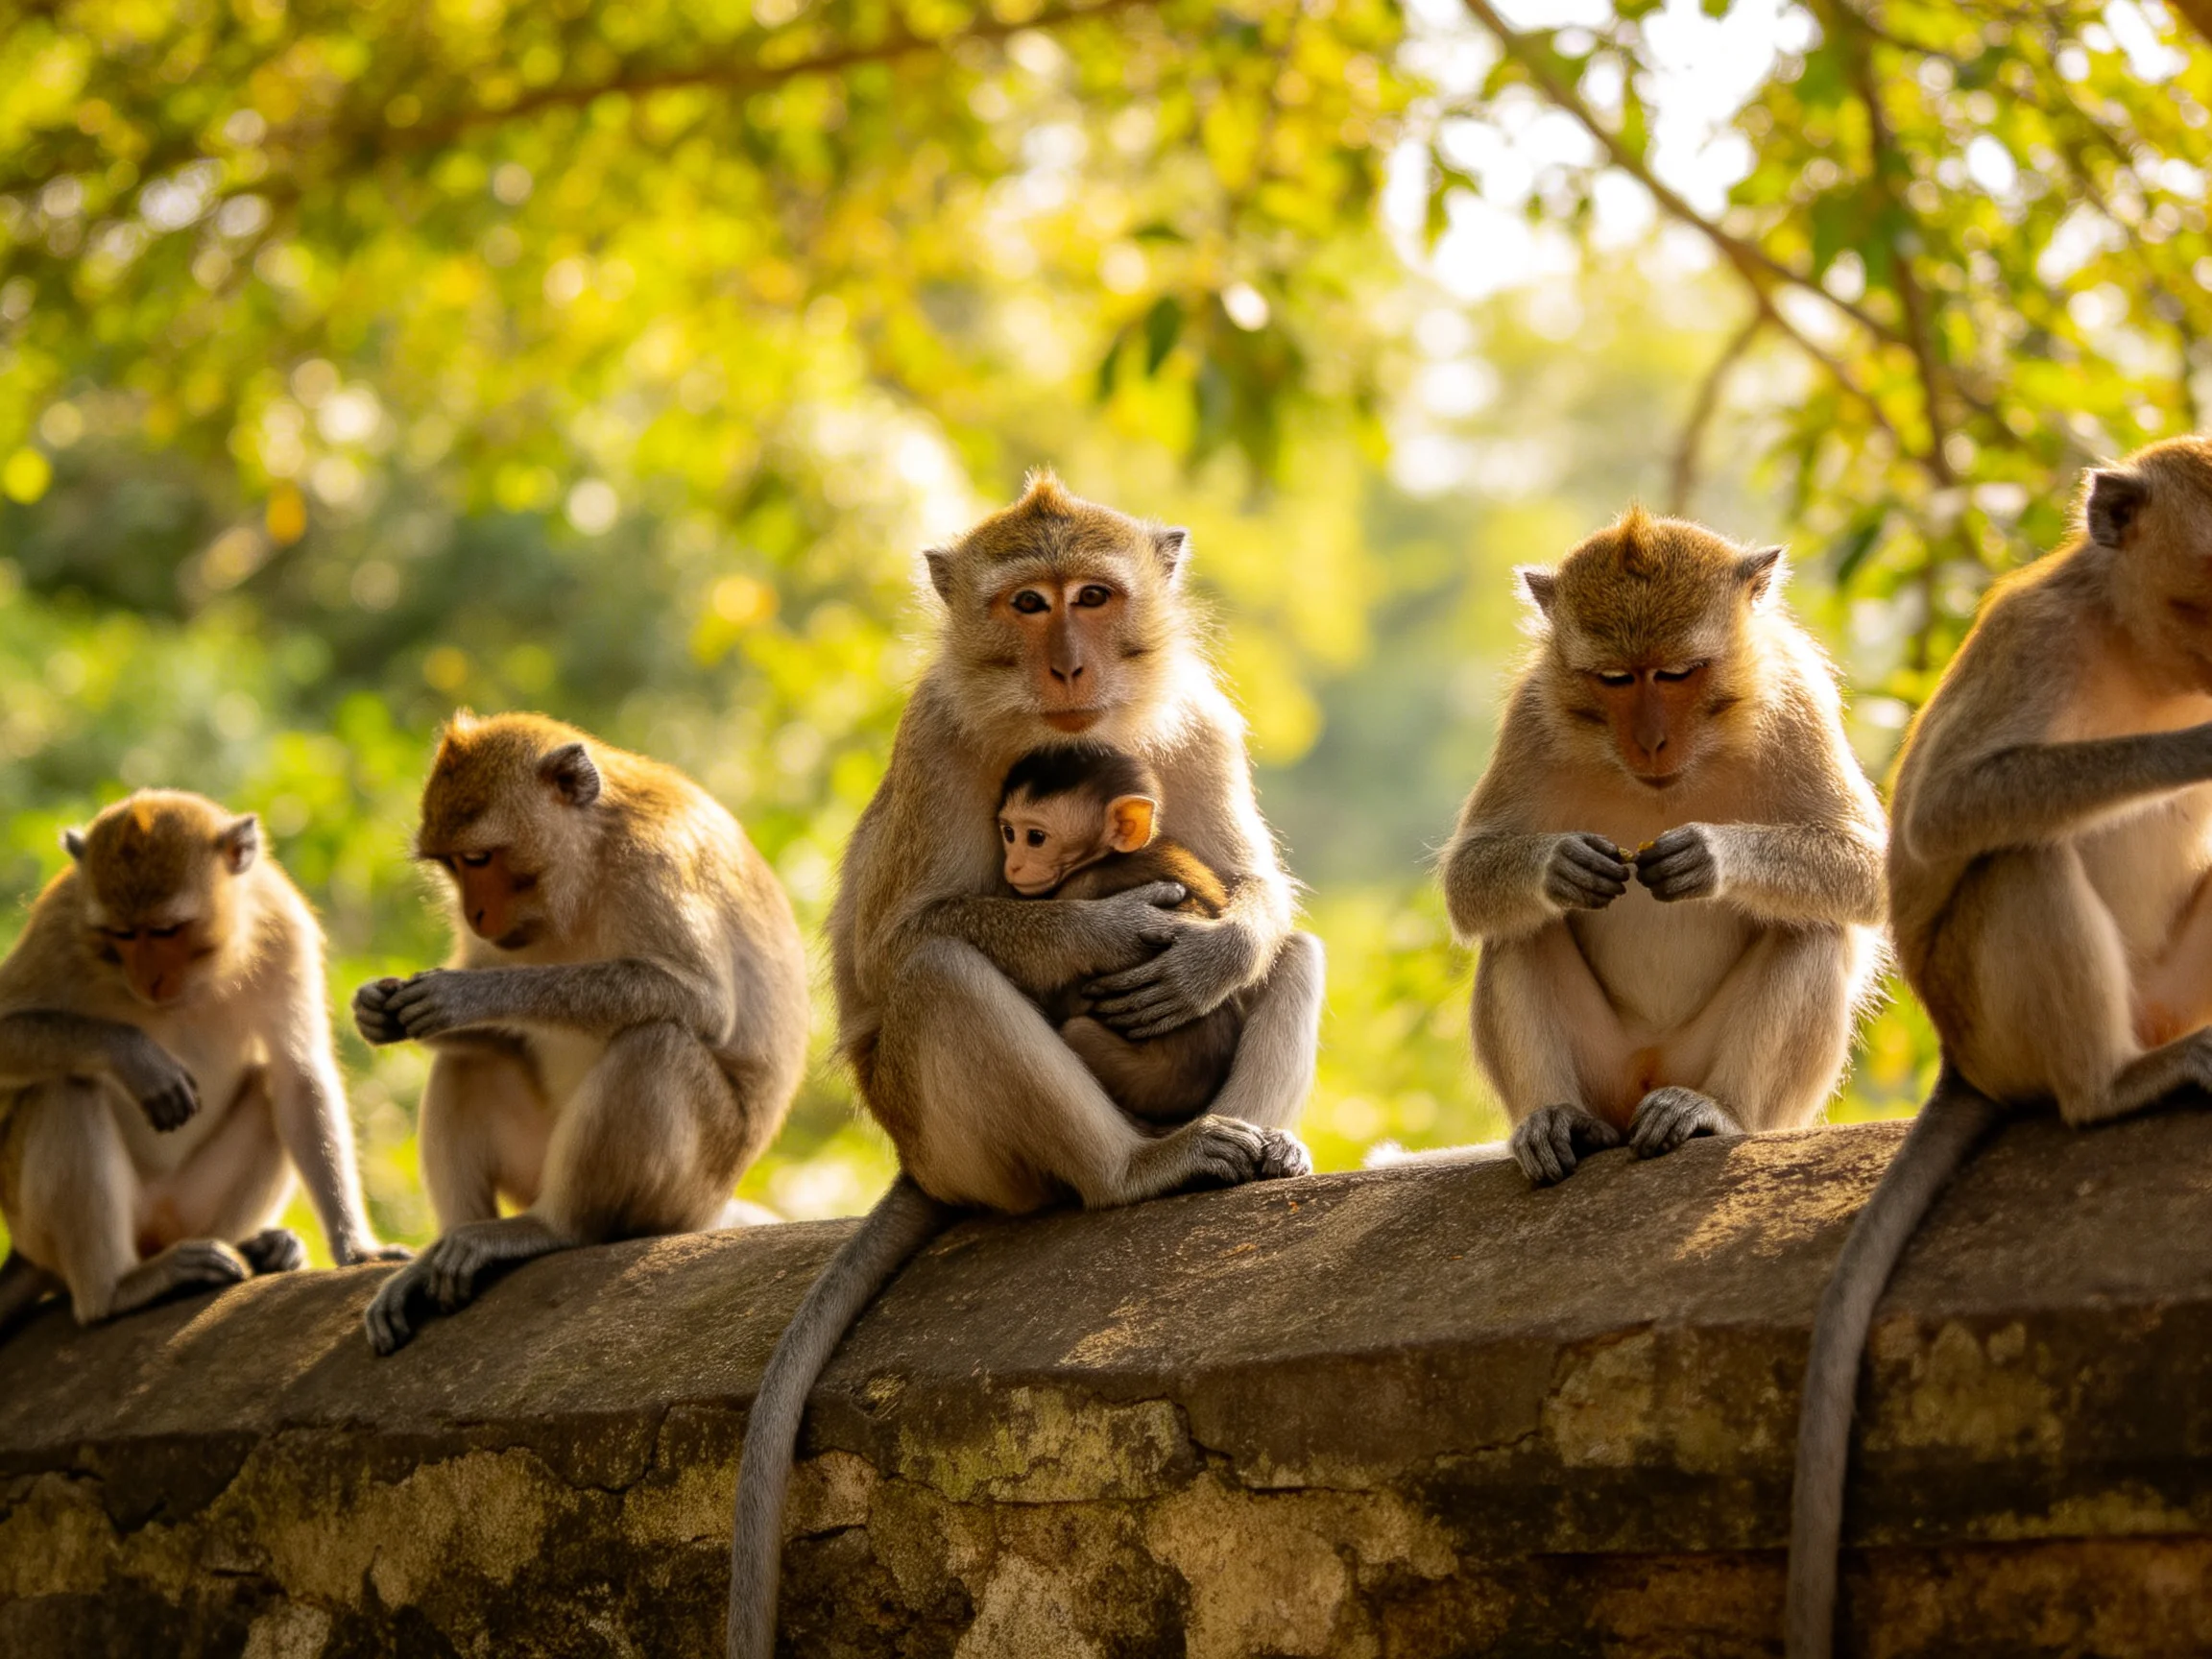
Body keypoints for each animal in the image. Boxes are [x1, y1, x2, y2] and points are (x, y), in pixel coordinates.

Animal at [0, 790, 406, 1339]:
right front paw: (135, 1056)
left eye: (166, 930)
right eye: (121, 934)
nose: (147, 978)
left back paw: (261, 1249)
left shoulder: (283, 928)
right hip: (35, 1224)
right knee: (69, 1087)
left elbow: (297, 1076)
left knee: (266, 1086)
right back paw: (116, 1291)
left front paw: (358, 1247)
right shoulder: (59, 927)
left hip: (191, 1212)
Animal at [352, 711, 809, 1357]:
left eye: (479, 857)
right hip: (533, 1161)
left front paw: (464, 996)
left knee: (656, 1044)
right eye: (451, 865)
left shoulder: (656, 861)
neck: (590, 856)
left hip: (686, 1190)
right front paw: (376, 1007)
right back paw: (442, 1250)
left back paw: (551, 1228)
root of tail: (711, 1210)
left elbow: (701, 1001)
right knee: (473, 1061)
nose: (473, 915)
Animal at [995, 742, 1244, 1123]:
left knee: (1077, 1028)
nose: (1014, 866)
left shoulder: (1082, 886)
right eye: (1009, 833)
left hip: (1144, 1081)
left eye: (1036, 838)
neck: (1106, 858)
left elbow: (1068, 999)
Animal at [1440, 506, 1887, 1188]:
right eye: (1616, 679)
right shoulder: (1533, 713)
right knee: (1518, 928)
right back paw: (1556, 1118)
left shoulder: (1797, 699)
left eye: (1678, 673)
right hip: (1607, 1069)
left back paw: (1716, 1112)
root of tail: (1647, 1075)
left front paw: (1709, 856)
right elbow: (1468, 880)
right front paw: (1560, 865)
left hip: (1717, 1075)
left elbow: (1871, 872)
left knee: (1812, 925)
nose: (1650, 741)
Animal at [1787, 437, 2212, 1659]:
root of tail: (1964, 1061)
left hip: (2173, 985)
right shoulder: (2038, 638)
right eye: (2209, 593)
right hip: (2000, 1014)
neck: (2138, 647)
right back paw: (2110, 1088)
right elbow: (1950, 812)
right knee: (2022, 856)